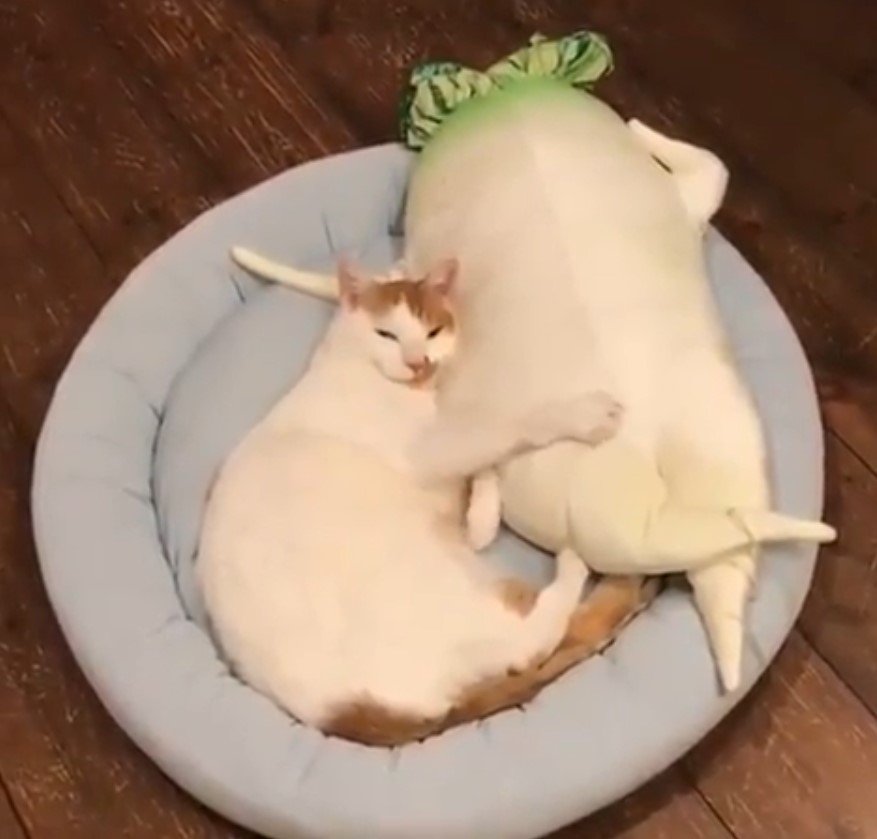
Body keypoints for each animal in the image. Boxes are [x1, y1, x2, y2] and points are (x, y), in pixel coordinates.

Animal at [201, 260, 632, 744]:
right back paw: (580, 563)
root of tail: (340, 715)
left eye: (432, 331)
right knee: (533, 640)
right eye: (386, 333)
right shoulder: (431, 448)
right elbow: (505, 426)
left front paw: (482, 517)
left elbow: (485, 466)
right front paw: (583, 414)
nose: (416, 361)